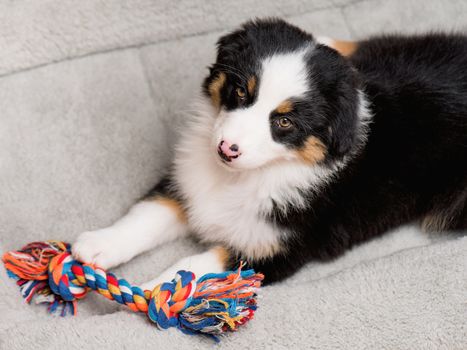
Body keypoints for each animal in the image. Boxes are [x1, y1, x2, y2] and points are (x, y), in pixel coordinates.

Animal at [72, 17, 467, 288]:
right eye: (240, 92)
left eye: (285, 122)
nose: (226, 149)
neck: (243, 176)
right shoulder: (188, 181)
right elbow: (148, 215)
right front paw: (99, 245)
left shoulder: (277, 251)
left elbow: (197, 265)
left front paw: (157, 292)